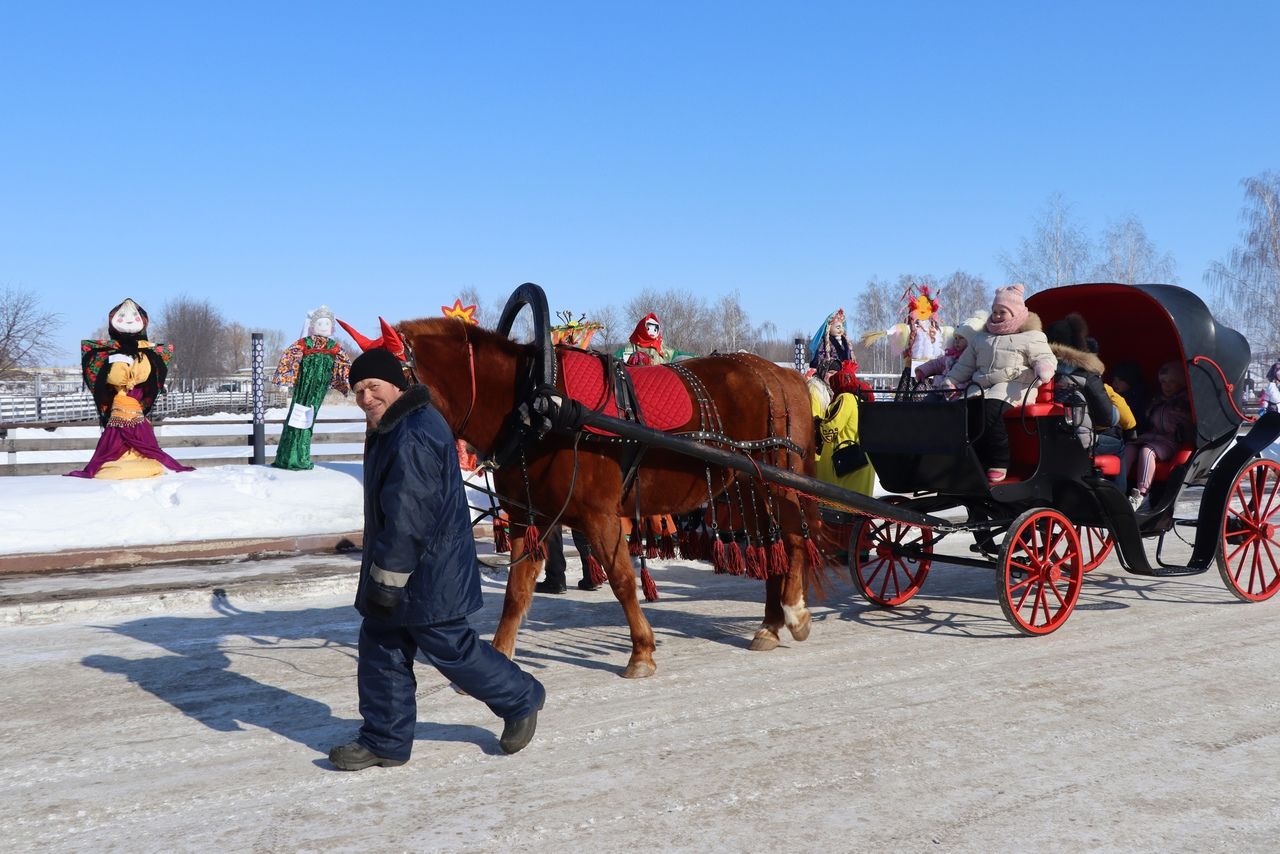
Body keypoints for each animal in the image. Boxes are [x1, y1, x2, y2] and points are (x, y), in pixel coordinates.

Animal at [399, 317, 819, 676]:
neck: (537, 406)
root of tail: (782, 374)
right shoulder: (528, 518)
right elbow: (517, 590)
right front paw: (500, 654)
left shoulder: (598, 515)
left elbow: (621, 580)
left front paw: (641, 652)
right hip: (748, 486)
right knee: (773, 550)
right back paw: (769, 626)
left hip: (777, 481)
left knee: (795, 540)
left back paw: (795, 612)